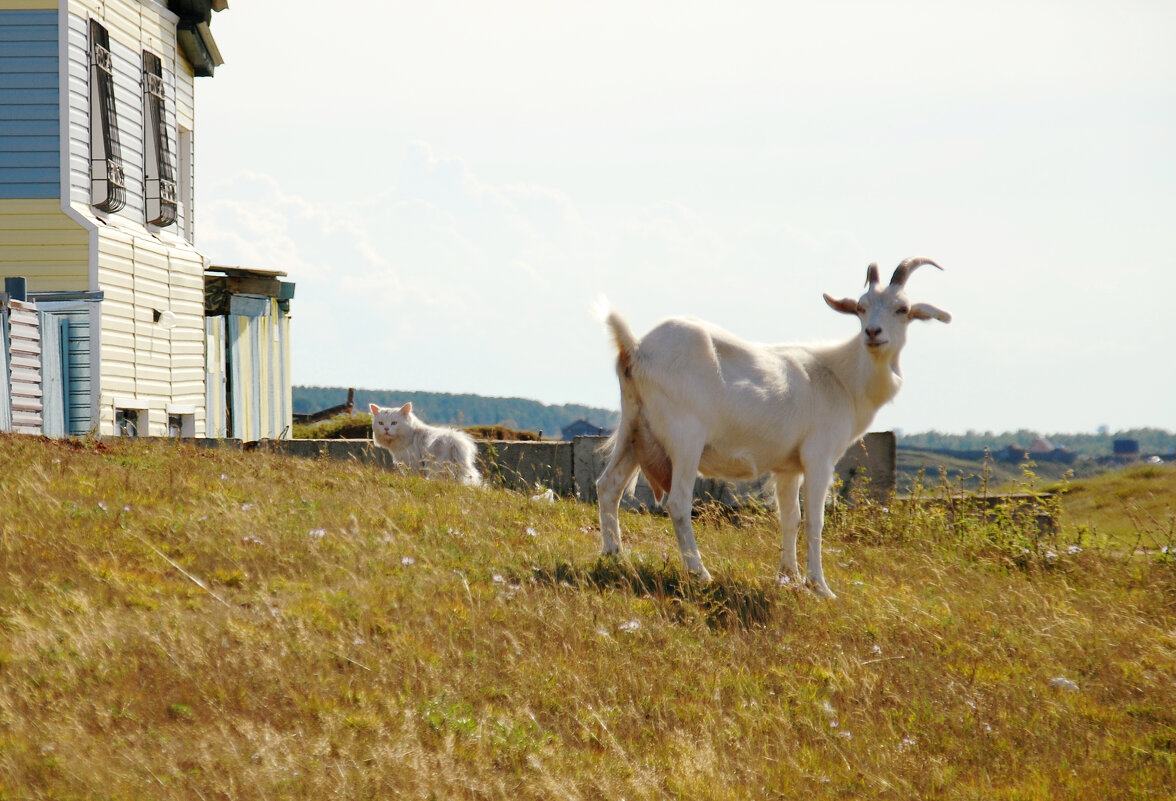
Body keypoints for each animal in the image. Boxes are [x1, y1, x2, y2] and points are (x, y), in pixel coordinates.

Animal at [592, 256, 950, 592]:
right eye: (861, 307)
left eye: (902, 309)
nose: (873, 333)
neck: (839, 378)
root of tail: (635, 348)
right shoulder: (819, 457)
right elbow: (815, 521)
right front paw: (820, 587)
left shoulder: (788, 467)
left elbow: (790, 518)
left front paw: (788, 577)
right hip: (684, 438)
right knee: (678, 502)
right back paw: (699, 572)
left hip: (634, 430)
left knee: (608, 486)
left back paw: (615, 556)